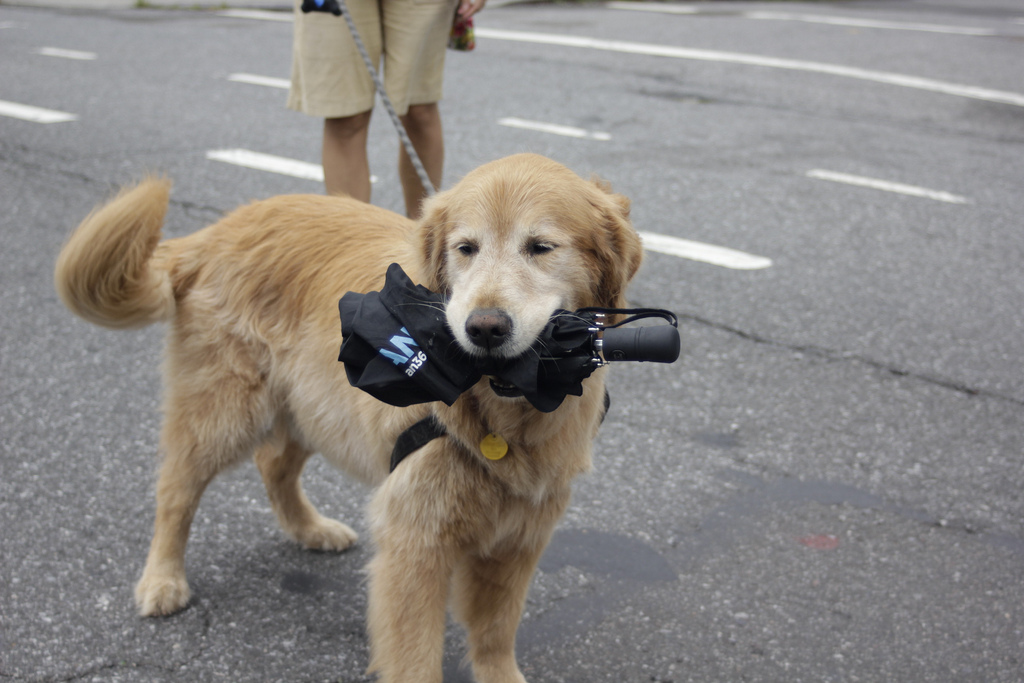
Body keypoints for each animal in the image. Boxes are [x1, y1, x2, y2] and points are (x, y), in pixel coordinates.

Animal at [54, 154, 638, 683]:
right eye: (466, 249)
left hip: (313, 404)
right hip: (224, 413)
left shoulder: (520, 535)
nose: (484, 328)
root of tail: (218, 230)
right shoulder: (414, 540)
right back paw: (162, 580)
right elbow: (416, 656)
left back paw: (310, 529)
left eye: (540, 248)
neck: (506, 408)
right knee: (176, 491)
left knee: (274, 466)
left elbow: (495, 635)